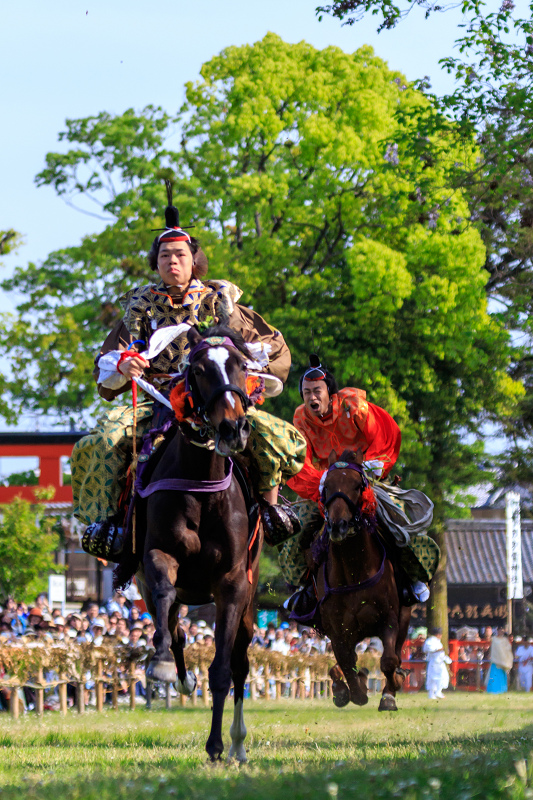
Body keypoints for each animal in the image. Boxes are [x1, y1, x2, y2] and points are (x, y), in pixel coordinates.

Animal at [133, 324, 262, 764]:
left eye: (241, 365)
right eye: (201, 370)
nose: (232, 428)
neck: (203, 487)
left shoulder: (233, 584)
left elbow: (223, 669)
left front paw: (217, 745)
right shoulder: (158, 557)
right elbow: (165, 599)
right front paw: (162, 666)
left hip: (250, 602)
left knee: (240, 662)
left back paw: (239, 743)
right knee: (173, 624)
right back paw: (179, 674)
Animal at [316, 450, 412, 712]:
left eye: (358, 486)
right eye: (327, 486)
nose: (338, 525)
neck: (354, 569)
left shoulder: (389, 617)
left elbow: (389, 660)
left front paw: (390, 692)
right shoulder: (337, 630)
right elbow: (346, 664)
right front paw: (347, 689)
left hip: (404, 616)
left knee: (396, 653)